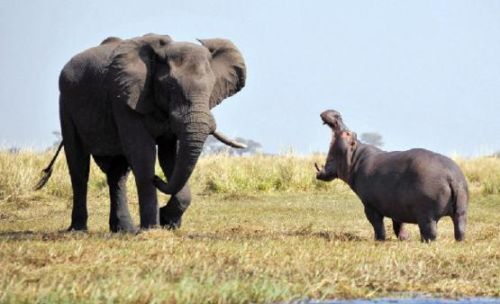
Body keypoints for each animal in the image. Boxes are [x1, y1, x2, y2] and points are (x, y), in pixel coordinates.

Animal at [36, 33, 247, 232]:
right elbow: (143, 154)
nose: (157, 179)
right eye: (171, 86)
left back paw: (124, 230)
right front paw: (152, 228)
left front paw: (167, 221)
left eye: (211, 88)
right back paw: (79, 230)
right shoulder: (124, 97)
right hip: (66, 105)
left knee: (118, 173)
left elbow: (169, 157)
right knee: (79, 166)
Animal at [316, 110, 468, 242]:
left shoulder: (370, 205)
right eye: (352, 133)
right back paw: (459, 241)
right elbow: (398, 225)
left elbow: (377, 224)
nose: (336, 114)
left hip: (427, 216)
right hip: (461, 211)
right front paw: (404, 238)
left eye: (347, 133)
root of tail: (452, 177)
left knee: (430, 232)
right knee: (459, 227)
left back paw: (425, 242)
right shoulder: (397, 206)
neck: (355, 158)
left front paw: (379, 240)